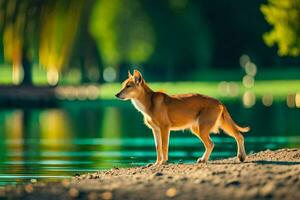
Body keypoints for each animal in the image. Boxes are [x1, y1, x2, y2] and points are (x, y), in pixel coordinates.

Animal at [116, 70, 250, 166]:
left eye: (128, 86)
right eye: (123, 85)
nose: (116, 95)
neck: (148, 103)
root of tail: (218, 101)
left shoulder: (165, 128)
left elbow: (164, 146)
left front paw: (163, 162)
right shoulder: (155, 129)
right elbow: (158, 147)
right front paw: (156, 163)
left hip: (202, 128)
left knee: (211, 144)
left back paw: (204, 159)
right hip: (207, 126)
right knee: (239, 136)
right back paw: (241, 156)